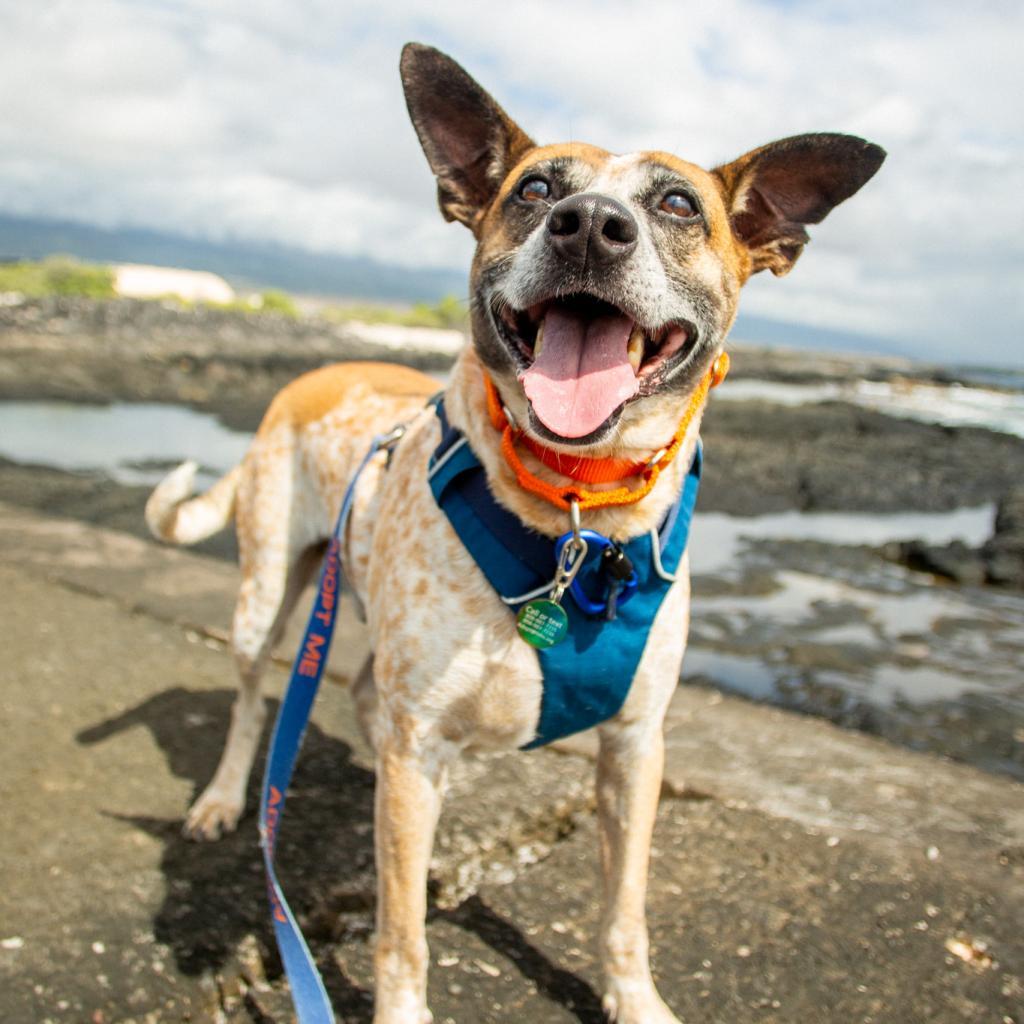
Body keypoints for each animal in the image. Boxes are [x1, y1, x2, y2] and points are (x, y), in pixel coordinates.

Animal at [144, 44, 880, 1024]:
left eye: (677, 204)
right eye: (534, 189)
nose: (589, 226)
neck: (578, 518)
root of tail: (315, 373)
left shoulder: (635, 748)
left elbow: (623, 908)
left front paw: (633, 998)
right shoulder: (418, 741)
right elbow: (401, 930)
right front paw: (402, 1006)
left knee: (365, 701)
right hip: (268, 593)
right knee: (254, 702)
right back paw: (226, 798)